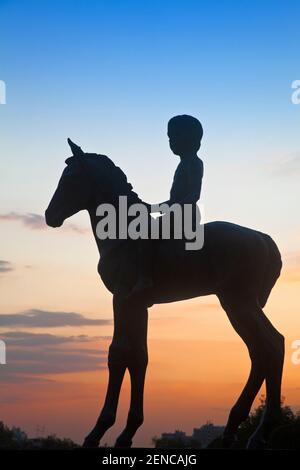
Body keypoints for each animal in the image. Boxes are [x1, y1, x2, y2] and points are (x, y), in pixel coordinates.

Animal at [45, 149, 284, 450]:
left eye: (71, 178)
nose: (50, 215)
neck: (122, 233)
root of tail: (263, 238)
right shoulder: (138, 305)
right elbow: (139, 356)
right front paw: (127, 432)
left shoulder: (122, 299)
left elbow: (118, 353)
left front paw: (98, 431)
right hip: (235, 303)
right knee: (260, 351)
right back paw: (233, 431)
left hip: (239, 302)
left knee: (272, 345)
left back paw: (260, 431)